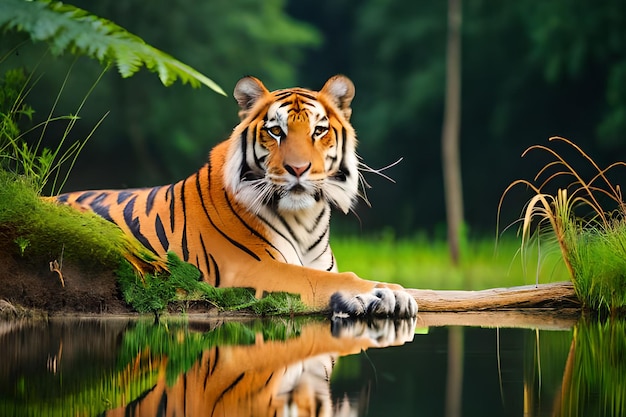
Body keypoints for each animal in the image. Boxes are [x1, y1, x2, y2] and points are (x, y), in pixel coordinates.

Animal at [52, 74, 414, 316]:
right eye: (276, 130)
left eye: (319, 130)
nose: (298, 169)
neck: (305, 219)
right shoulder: (251, 269)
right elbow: (316, 280)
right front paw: (386, 292)